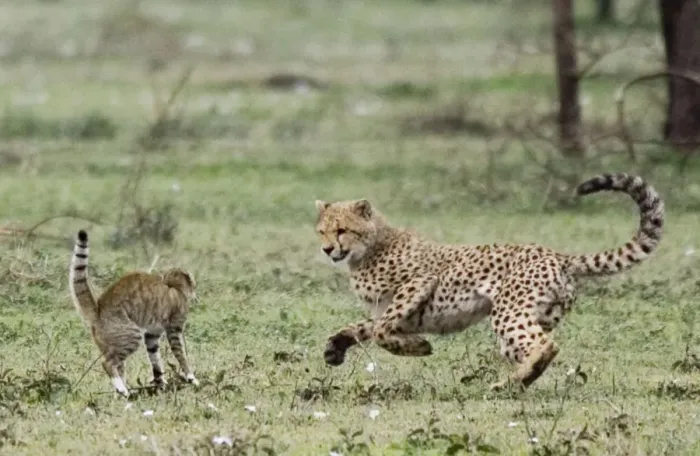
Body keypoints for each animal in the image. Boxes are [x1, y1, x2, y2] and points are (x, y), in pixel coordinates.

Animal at [70, 229, 200, 397]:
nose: (195, 292)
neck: (173, 286)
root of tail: (98, 309)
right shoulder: (174, 330)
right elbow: (181, 355)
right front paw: (191, 378)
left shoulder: (151, 335)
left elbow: (156, 361)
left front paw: (160, 383)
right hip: (131, 335)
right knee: (107, 363)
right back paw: (122, 389)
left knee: (117, 366)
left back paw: (122, 393)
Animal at [314, 173, 664, 390]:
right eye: (322, 231)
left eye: (342, 230)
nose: (327, 249)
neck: (368, 248)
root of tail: (557, 255)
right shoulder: (383, 309)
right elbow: (361, 328)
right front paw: (334, 349)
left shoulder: (420, 282)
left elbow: (382, 331)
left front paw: (420, 346)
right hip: (532, 320)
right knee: (534, 347)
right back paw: (517, 382)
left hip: (508, 313)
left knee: (546, 346)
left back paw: (508, 384)